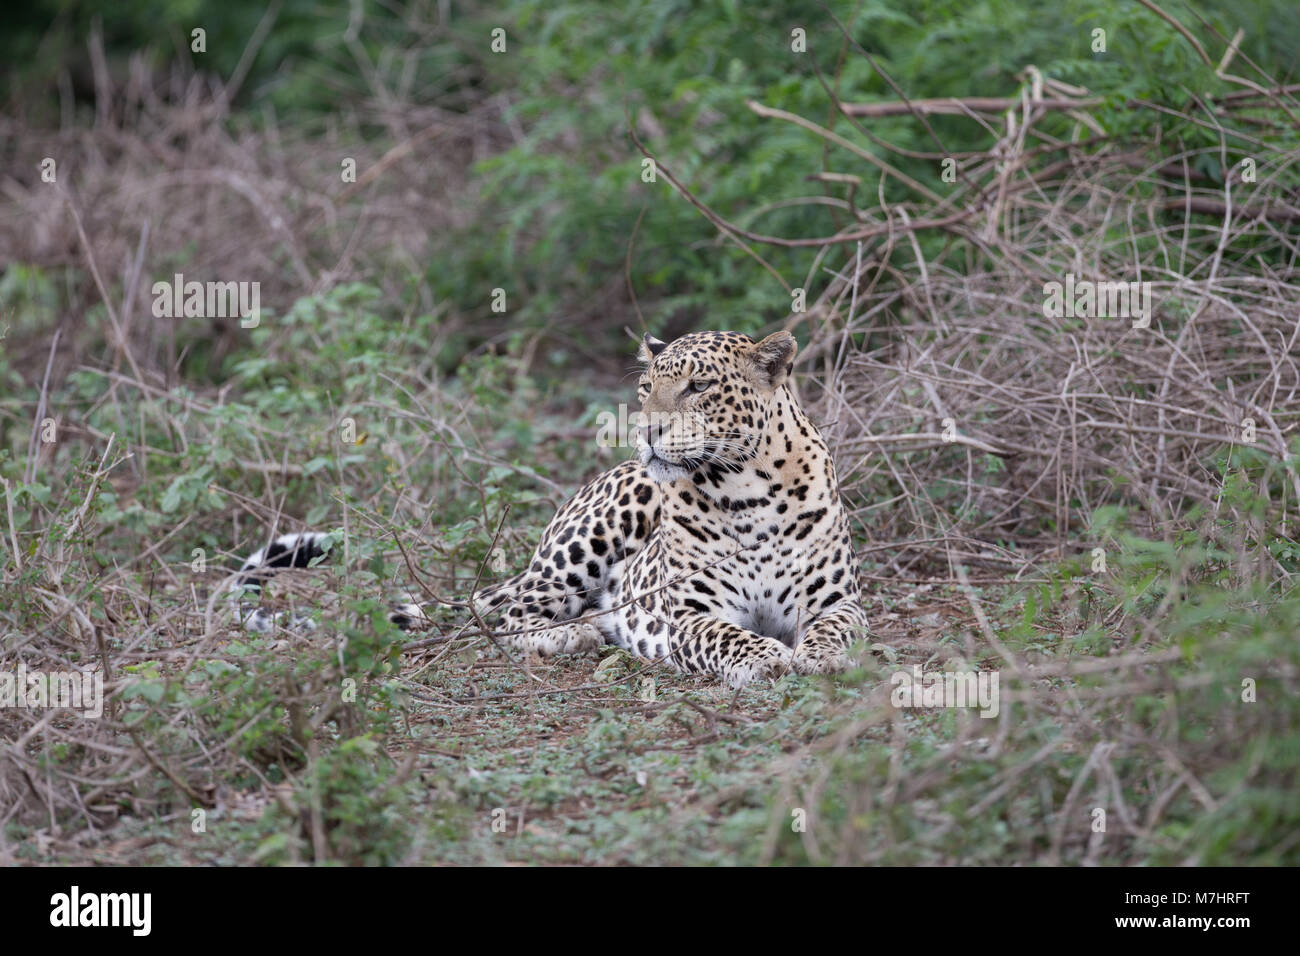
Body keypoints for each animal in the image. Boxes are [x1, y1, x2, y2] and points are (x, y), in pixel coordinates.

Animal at [473, 330, 868, 686]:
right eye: (646, 387)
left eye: (699, 386)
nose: (646, 431)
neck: (747, 491)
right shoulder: (691, 615)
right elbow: (727, 635)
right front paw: (767, 656)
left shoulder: (839, 602)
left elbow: (834, 627)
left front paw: (823, 655)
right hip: (590, 539)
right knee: (515, 612)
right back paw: (569, 635)